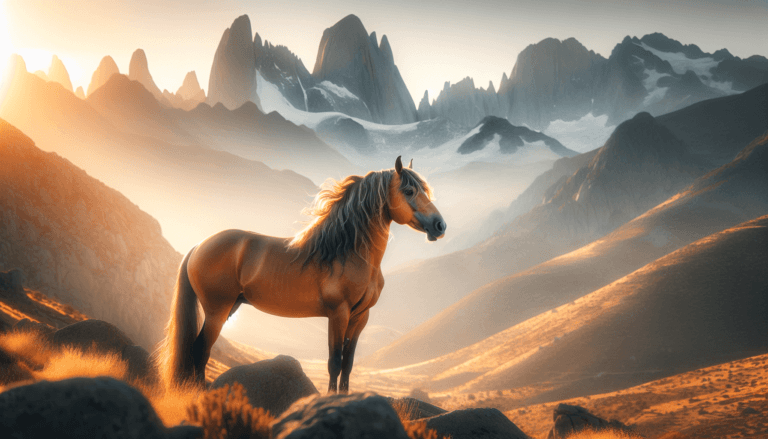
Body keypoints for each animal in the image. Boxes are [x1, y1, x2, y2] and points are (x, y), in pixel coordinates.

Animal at [158, 156, 446, 392]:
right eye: (409, 190)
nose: (440, 225)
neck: (350, 254)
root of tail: (199, 246)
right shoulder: (338, 314)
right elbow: (334, 363)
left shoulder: (360, 318)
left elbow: (348, 365)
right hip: (217, 310)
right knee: (200, 350)